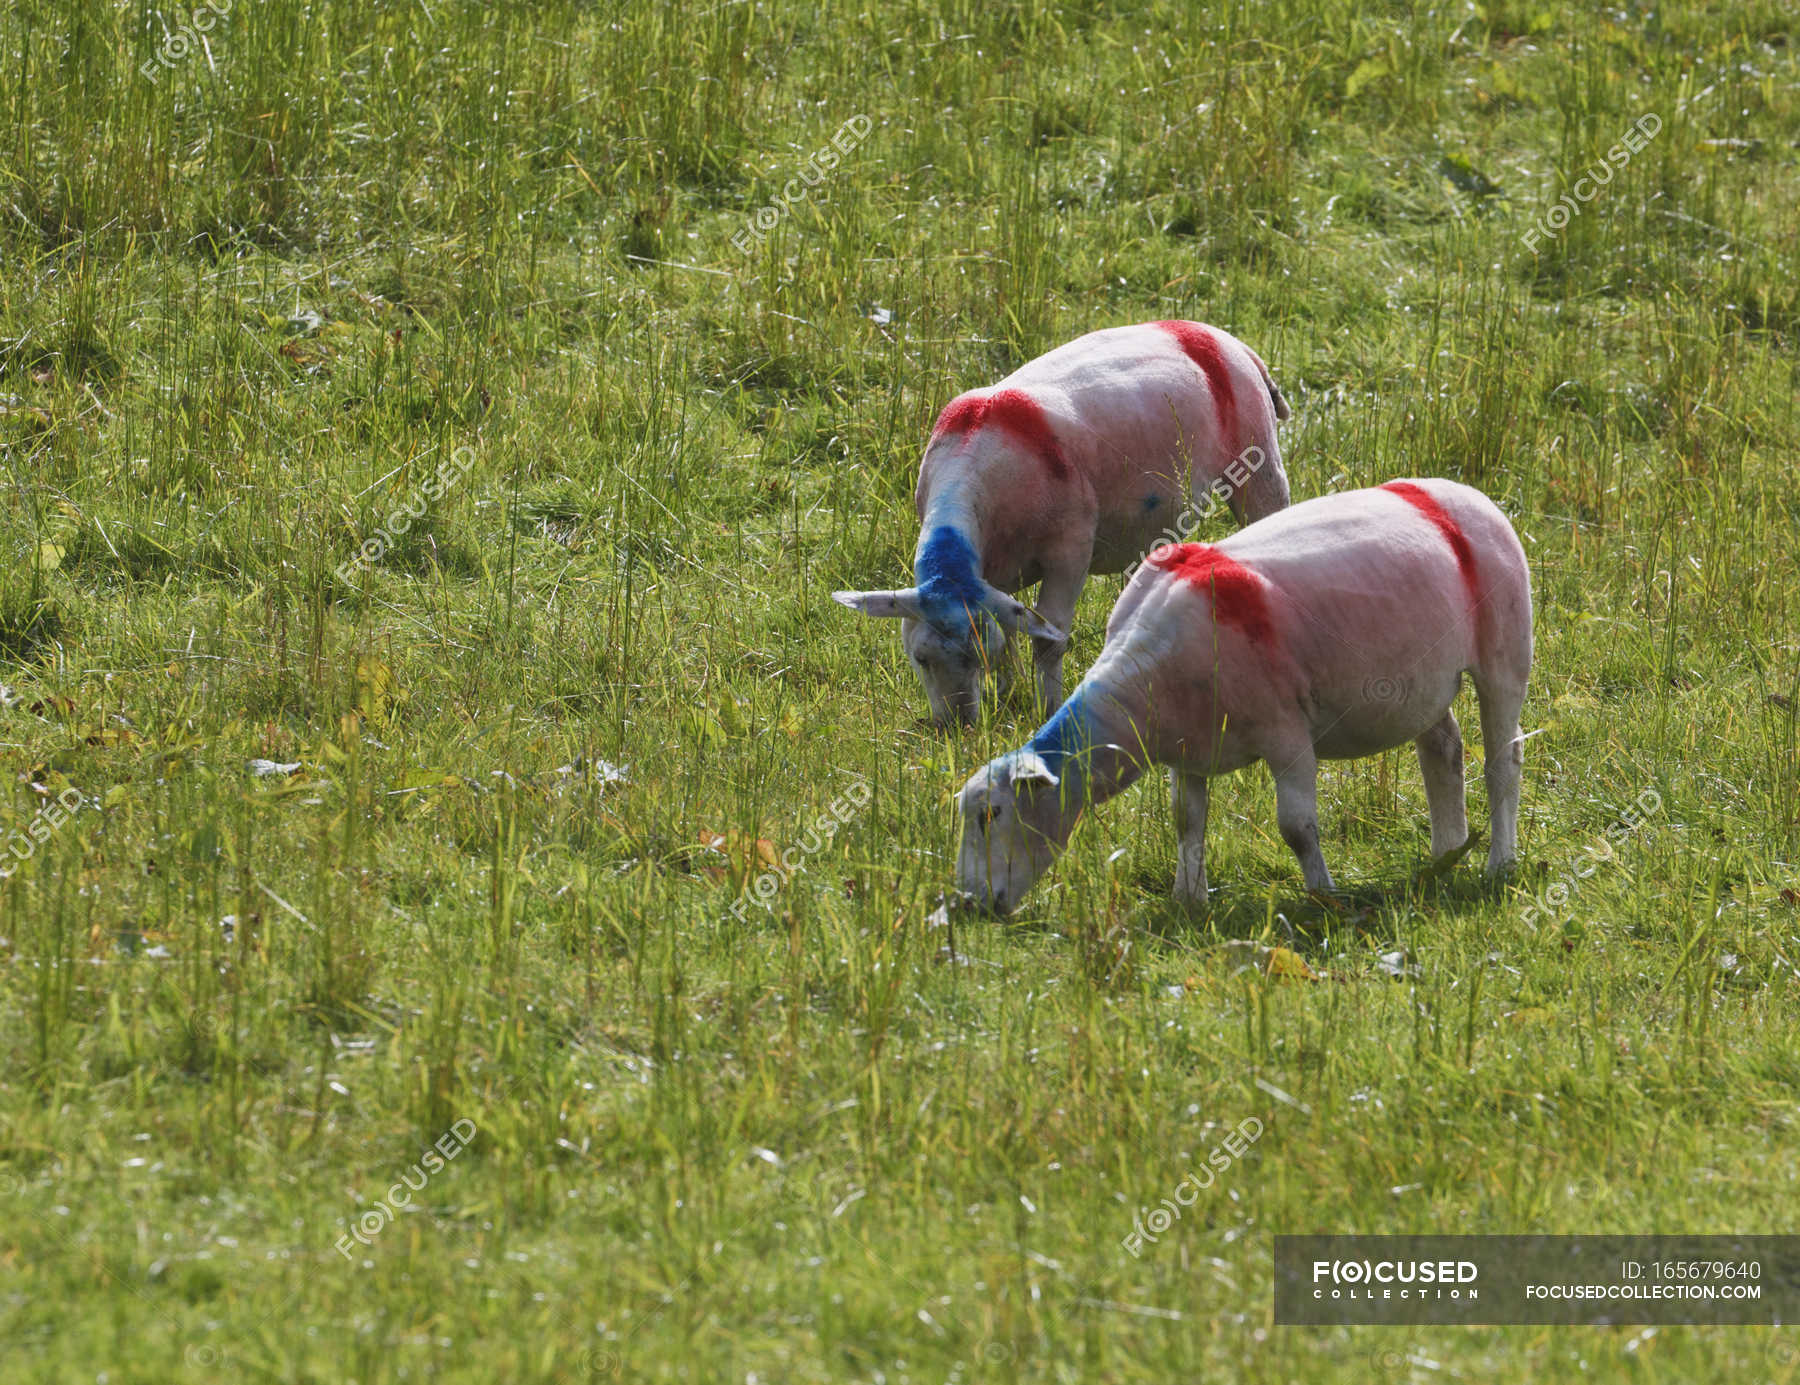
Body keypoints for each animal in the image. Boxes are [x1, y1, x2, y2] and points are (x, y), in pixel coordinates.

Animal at [834, 321, 1292, 726]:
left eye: (974, 658)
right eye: (921, 658)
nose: (955, 726)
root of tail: (1223, 339)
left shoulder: (1070, 550)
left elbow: (1048, 638)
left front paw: (1047, 708)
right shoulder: (991, 575)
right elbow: (1011, 629)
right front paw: (1009, 697)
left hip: (1259, 462)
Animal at [953, 479, 1533, 914]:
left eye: (992, 815)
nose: (968, 905)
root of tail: (1465, 495)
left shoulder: (1286, 733)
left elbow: (1296, 828)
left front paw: (1323, 897)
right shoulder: (1186, 747)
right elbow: (1186, 819)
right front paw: (1188, 899)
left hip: (1504, 655)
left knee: (1502, 763)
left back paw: (1499, 863)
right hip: (1420, 680)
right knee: (1443, 748)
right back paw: (1446, 852)